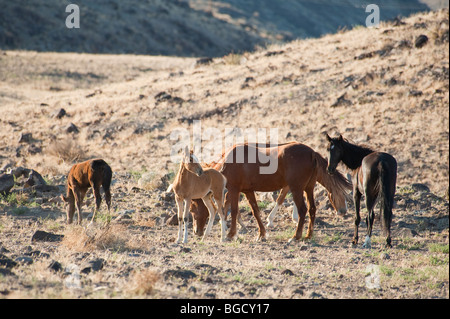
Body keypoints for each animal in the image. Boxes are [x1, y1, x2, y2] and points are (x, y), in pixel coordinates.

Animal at [208, 142, 352, 242]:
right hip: (308, 189)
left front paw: (230, 234)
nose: (343, 211)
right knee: (312, 209)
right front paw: (262, 234)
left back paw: (296, 236)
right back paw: (308, 235)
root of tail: (312, 152)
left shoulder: (234, 189)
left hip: (297, 189)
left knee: (303, 210)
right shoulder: (248, 191)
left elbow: (234, 211)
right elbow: (255, 211)